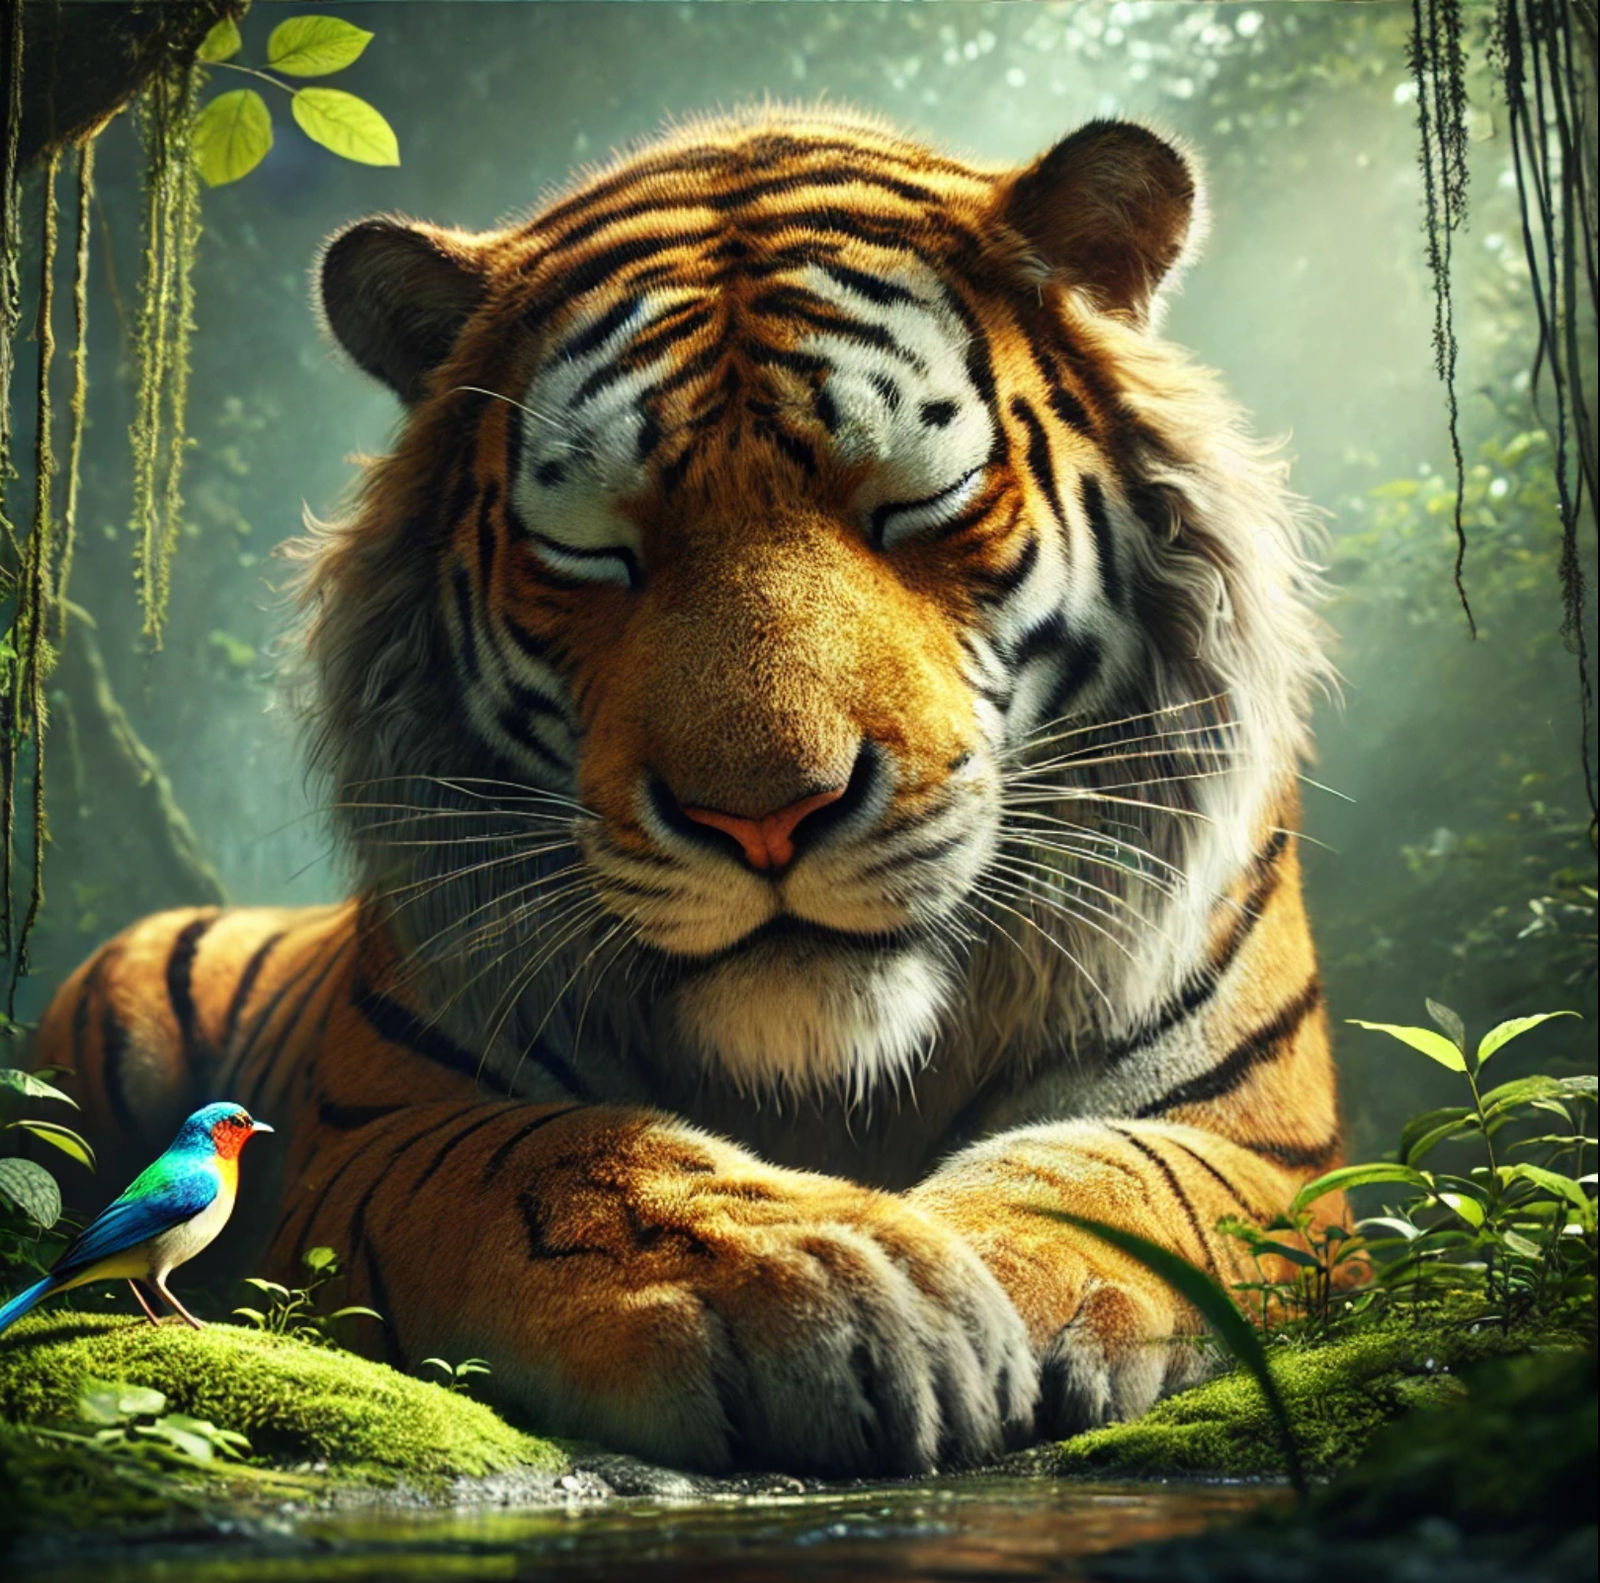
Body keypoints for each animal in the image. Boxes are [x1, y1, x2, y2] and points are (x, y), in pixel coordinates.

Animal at [32, 107, 1340, 1477]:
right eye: (593, 550)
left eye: (915, 502)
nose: (763, 815)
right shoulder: (388, 1127)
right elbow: (552, 1163)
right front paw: (830, 1282)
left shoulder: (1259, 1142)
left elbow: (1124, 1179)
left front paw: (1004, 1278)